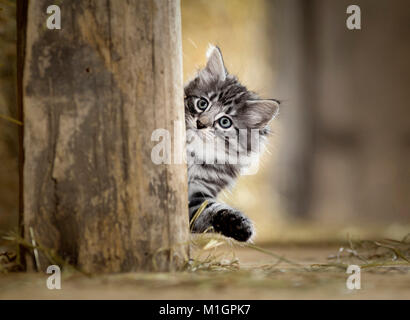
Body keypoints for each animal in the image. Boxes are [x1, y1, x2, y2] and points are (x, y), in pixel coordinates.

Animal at [185, 45, 278, 242]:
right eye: (202, 103)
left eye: (225, 122)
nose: (200, 124)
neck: (194, 153)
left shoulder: (197, 194)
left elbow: (211, 210)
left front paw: (238, 224)